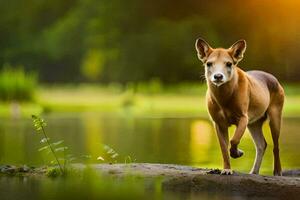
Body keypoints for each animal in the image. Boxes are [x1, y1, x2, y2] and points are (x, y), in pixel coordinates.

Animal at [196, 37, 284, 175]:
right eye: (209, 64)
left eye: (229, 63)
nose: (218, 76)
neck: (224, 98)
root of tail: (275, 79)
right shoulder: (218, 123)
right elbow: (223, 148)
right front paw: (227, 169)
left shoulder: (243, 117)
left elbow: (234, 140)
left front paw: (238, 153)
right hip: (254, 122)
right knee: (261, 144)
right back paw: (254, 172)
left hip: (275, 114)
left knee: (276, 145)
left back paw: (277, 171)